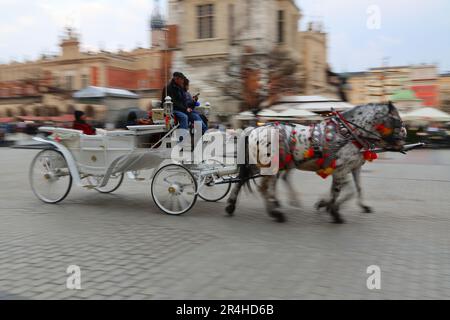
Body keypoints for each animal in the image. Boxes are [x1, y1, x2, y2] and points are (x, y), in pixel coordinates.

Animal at [227, 102, 406, 222]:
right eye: (397, 119)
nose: (404, 138)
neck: (348, 132)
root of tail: (255, 129)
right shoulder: (341, 168)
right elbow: (344, 191)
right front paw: (334, 212)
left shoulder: (352, 168)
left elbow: (355, 189)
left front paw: (330, 205)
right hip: (270, 167)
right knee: (263, 187)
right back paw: (276, 213)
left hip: (264, 166)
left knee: (242, 181)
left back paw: (232, 205)